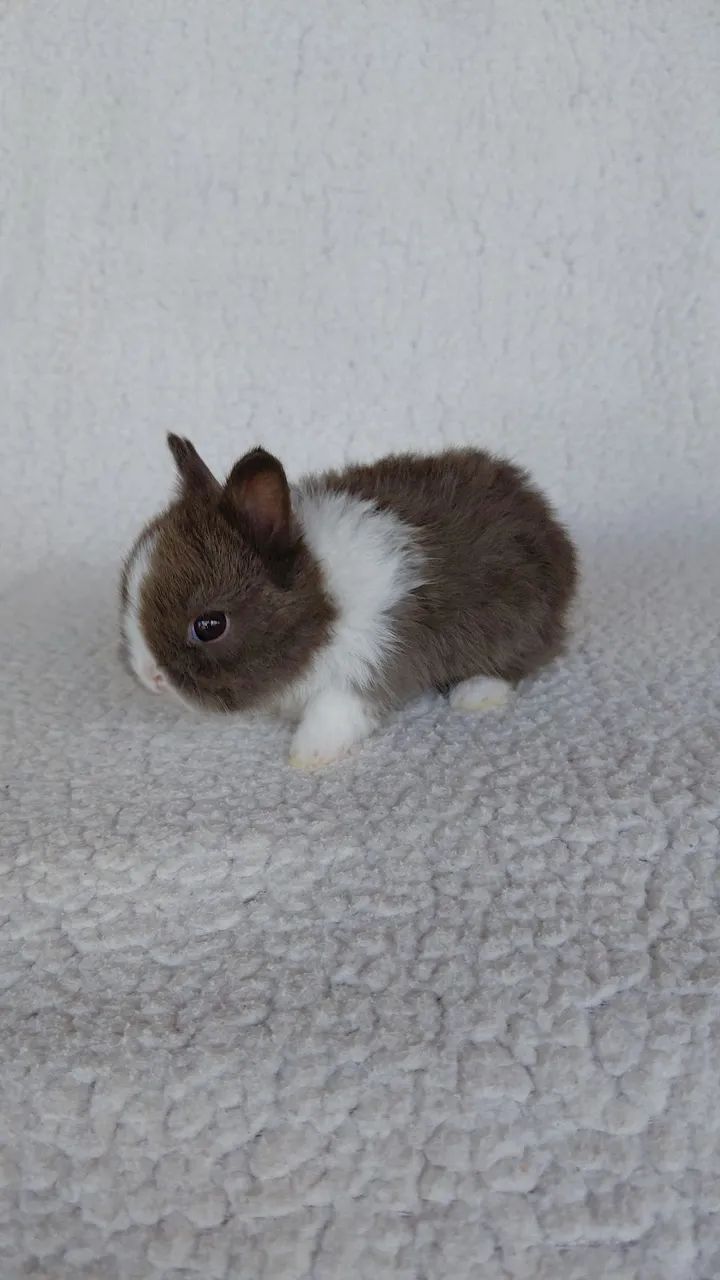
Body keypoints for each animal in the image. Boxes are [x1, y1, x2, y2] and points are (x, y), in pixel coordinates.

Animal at [120, 435, 578, 768]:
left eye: (209, 625)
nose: (149, 677)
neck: (322, 600)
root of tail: (550, 525)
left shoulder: (370, 660)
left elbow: (334, 711)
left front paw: (307, 756)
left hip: (514, 620)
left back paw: (476, 694)